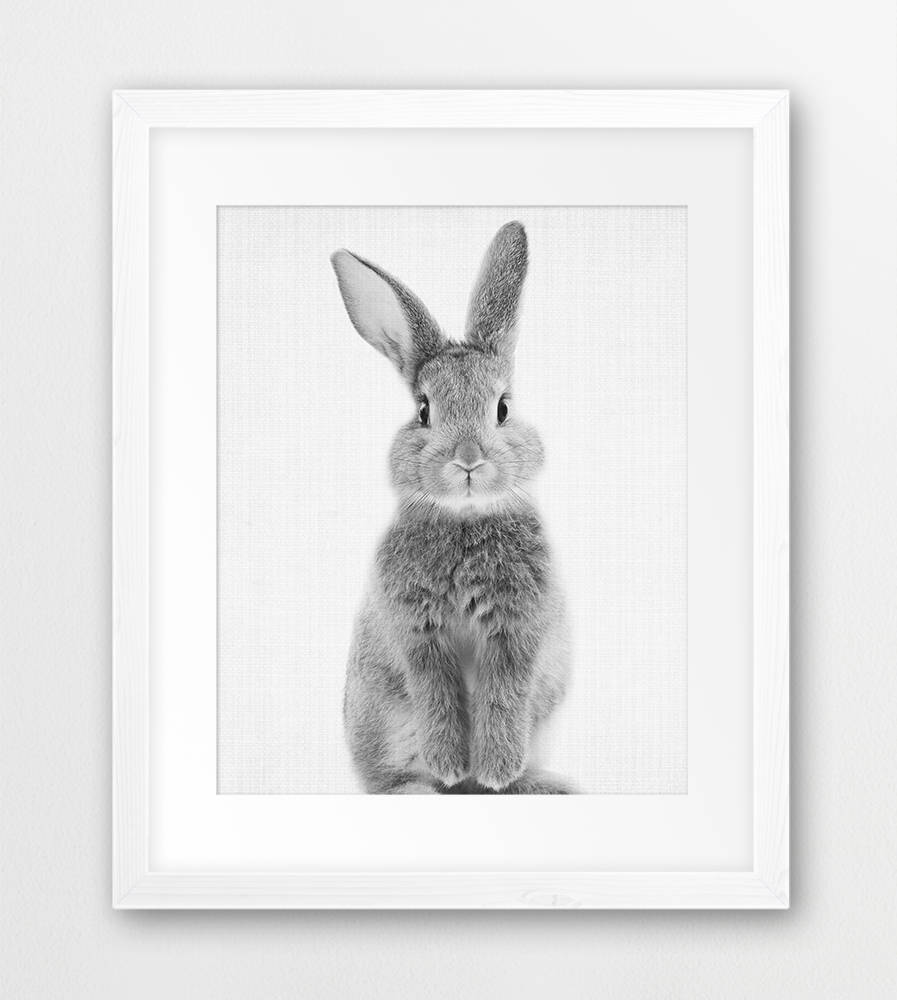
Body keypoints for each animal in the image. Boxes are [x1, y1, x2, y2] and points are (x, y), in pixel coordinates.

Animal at [331, 221, 572, 794]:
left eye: (503, 409)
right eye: (423, 411)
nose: (467, 459)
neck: (463, 520)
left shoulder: (517, 631)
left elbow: (502, 697)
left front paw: (496, 769)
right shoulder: (416, 631)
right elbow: (436, 695)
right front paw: (451, 763)